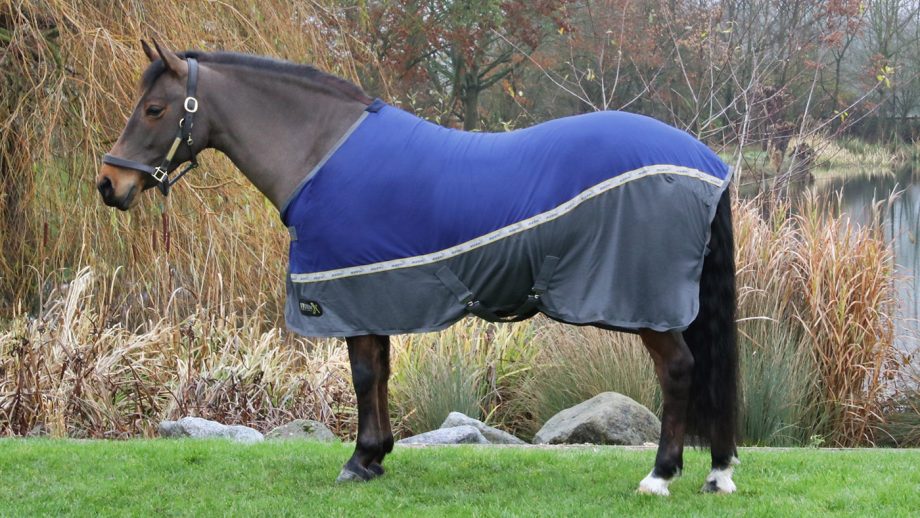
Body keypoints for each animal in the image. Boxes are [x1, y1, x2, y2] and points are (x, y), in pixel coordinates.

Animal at [97, 40, 739, 496]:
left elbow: (362, 375)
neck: (320, 155)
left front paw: (359, 460)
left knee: (679, 370)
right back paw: (716, 472)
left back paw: (660, 475)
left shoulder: (346, 295)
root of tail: (707, 162)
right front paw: (377, 455)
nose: (109, 184)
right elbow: (379, 373)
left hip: (646, 306)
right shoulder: (372, 293)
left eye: (154, 109)